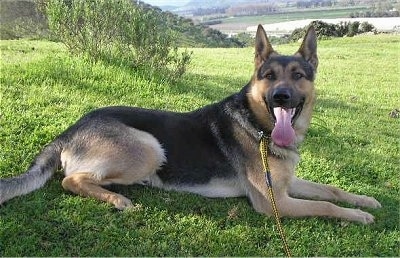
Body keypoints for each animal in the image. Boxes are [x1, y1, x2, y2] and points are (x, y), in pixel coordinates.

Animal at [0, 24, 382, 224]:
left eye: (299, 76)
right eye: (269, 76)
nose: (281, 97)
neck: (260, 127)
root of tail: (68, 131)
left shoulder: (287, 186)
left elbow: (331, 190)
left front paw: (363, 200)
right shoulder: (275, 202)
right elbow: (324, 205)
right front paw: (356, 216)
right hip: (149, 148)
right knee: (71, 180)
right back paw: (117, 199)